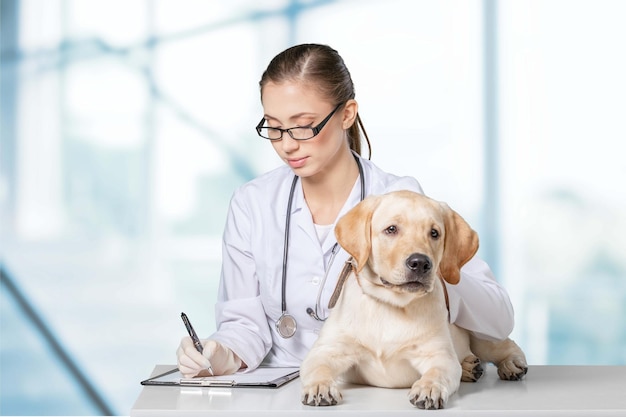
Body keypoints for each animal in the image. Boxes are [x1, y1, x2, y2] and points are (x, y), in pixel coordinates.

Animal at [300, 191, 524, 410]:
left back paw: (511, 364)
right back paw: (470, 367)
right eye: (391, 229)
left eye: (434, 233)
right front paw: (320, 386)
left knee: (506, 344)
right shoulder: (326, 351)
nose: (420, 263)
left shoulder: (439, 356)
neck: (390, 305)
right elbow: (318, 367)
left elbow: (437, 372)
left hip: (482, 331)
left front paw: (429, 388)